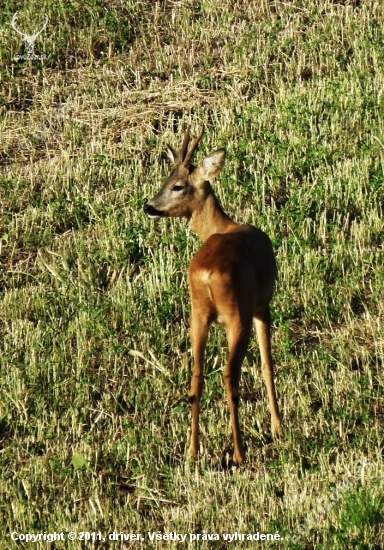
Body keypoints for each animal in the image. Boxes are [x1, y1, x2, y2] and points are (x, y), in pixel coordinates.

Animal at [144, 127, 282, 464]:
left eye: (176, 184)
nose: (149, 207)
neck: (223, 226)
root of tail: (207, 275)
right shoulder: (262, 304)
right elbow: (267, 363)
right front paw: (278, 427)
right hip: (237, 315)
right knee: (230, 376)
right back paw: (239, 453)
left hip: (197, 315)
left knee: (197, 375)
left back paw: (193, 452)